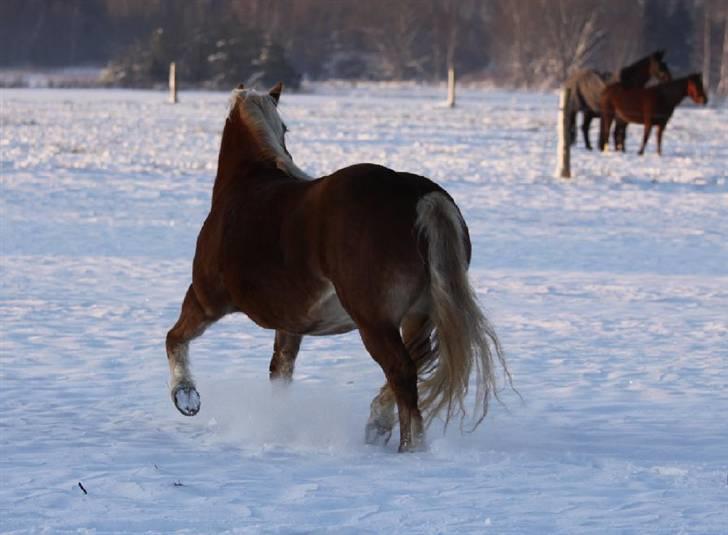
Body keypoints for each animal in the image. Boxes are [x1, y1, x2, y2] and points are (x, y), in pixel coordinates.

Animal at [164, 84, 512, 452]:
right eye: (285, 127)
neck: (244, 187)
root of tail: (419, 194)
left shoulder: (206, 299)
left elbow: (175, 338)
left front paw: (185, 396)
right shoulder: (291, 324)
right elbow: (280, 371)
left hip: (374, 322)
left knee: (402, 371)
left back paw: (409, 446)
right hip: (420, 316)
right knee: (417, 360)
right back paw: (378, 423)